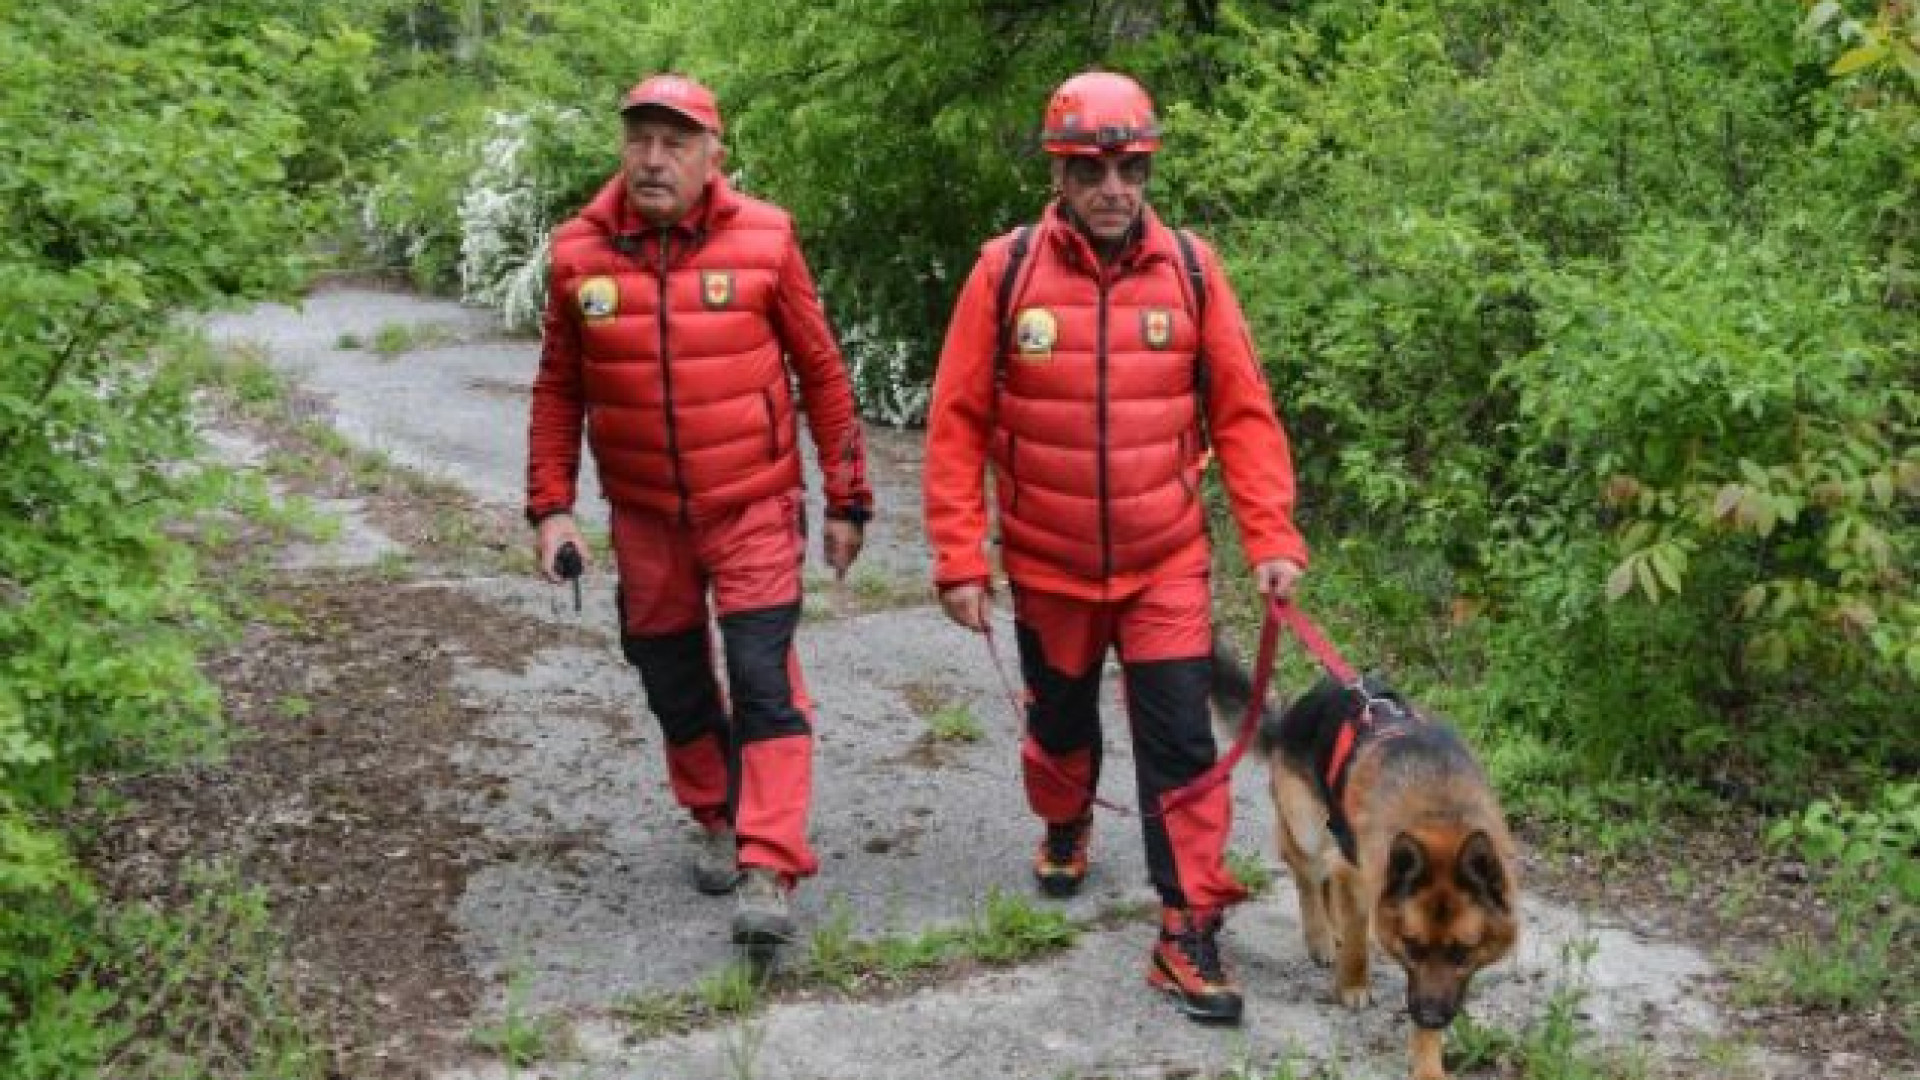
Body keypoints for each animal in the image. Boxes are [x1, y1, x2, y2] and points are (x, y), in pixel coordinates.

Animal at [1213, 634, 1512, 1068]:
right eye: (1412, 947)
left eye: (1462, 953)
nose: (1431, 1017)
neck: (1437, 811)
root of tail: (1295, 712)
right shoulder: (1360, 875)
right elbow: (1356, 939)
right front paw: (1353, 984)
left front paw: (1428, 1062)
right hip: (1307, 826)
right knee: (1305, 873)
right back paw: (1321, 935)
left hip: (1334, 833)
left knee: (1325, 876)